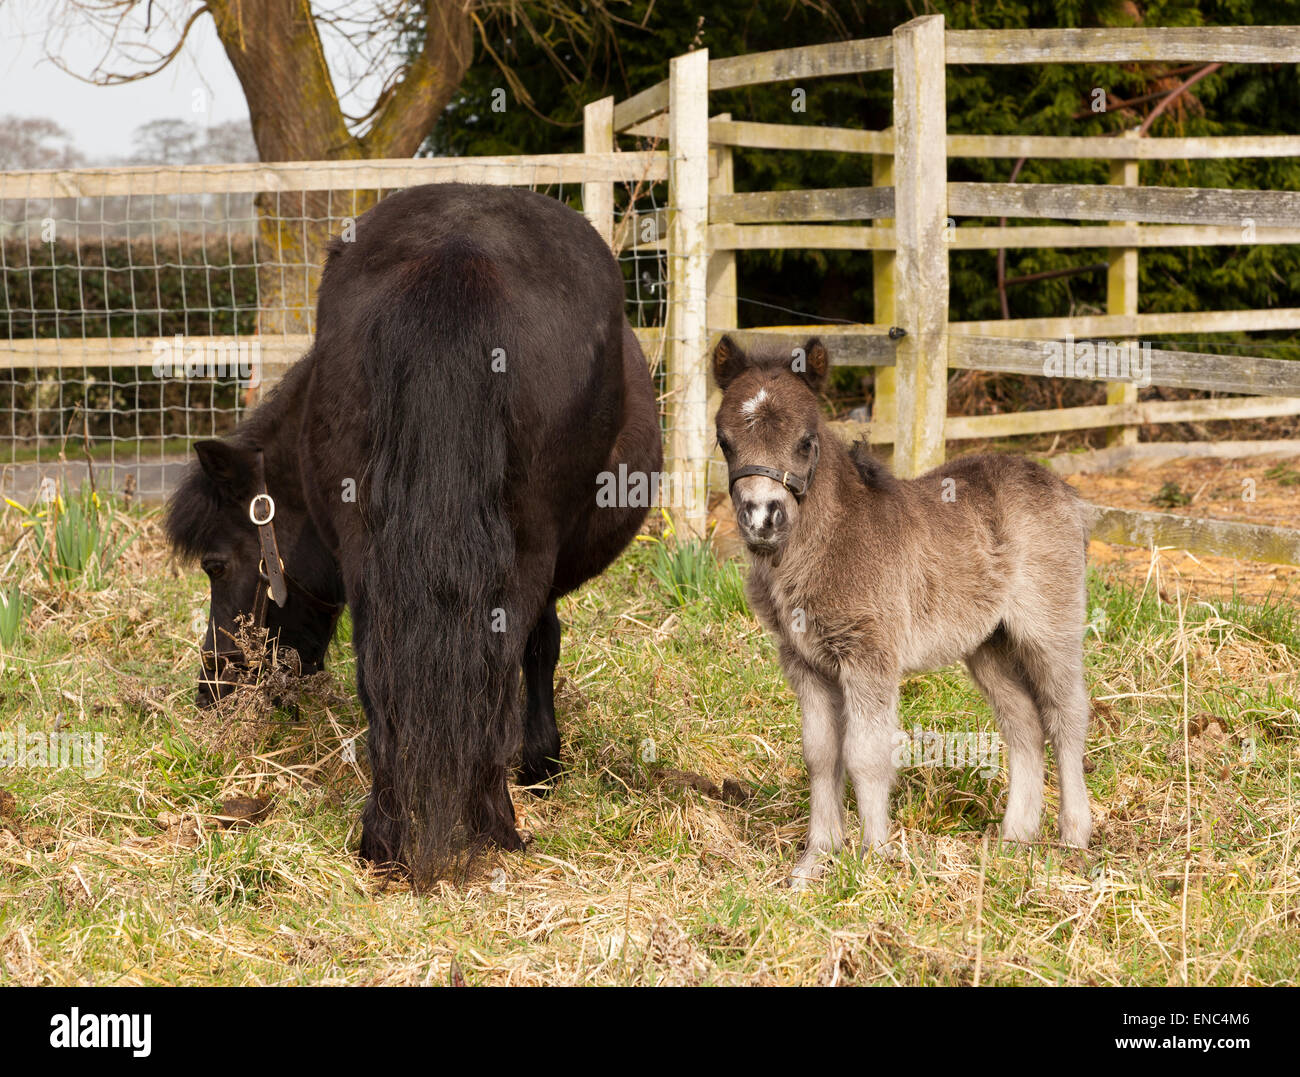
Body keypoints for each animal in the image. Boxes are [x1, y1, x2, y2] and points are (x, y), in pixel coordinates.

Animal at [165, 183, 661, 886]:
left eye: (214, 564)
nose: (212, 692)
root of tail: (456, 252)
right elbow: (540, 646)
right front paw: (539, 760)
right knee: (495, 666)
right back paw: (492, 827)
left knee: (384, 673)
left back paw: (387, 839)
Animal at [711, 334, 1093, 887]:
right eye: (725, 441)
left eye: (806, 441)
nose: (763, 517)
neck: (828, 541)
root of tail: (1065, 491)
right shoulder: (803, 662)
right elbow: (821, 755)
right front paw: (815, 861)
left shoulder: (869, 656)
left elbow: (866, 754)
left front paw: (873, 859)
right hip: (988, 643)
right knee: (1022, 721)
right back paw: (1014, 839)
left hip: (1048, 626)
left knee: (1067, 714)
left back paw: (1073, 838)